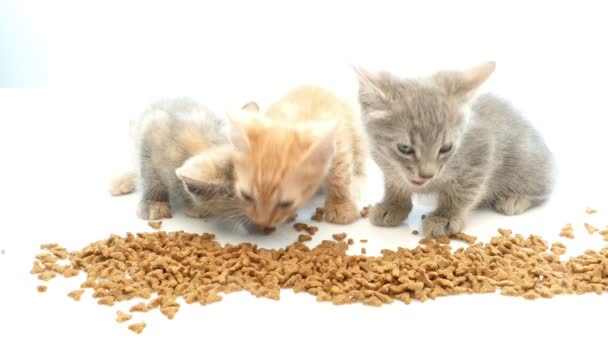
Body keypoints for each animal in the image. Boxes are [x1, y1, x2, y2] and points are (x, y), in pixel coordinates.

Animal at [228, 85, 368, 227]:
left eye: (286, 204)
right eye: (246, 196)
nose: (262, 223)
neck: (292, 120)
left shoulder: (339, 144)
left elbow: (340, 176)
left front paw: (341, 205)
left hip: (356, 129)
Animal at [356, 62, 556, 238]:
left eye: (446, 147)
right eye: (404, 148)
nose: (427, 174)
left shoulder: (481, 155)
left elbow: (461, 191)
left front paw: (445, 217)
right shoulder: (388, 165)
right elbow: (395, 184)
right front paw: (394, 204)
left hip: (526, 162)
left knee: (543, 188)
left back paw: (516, 198)